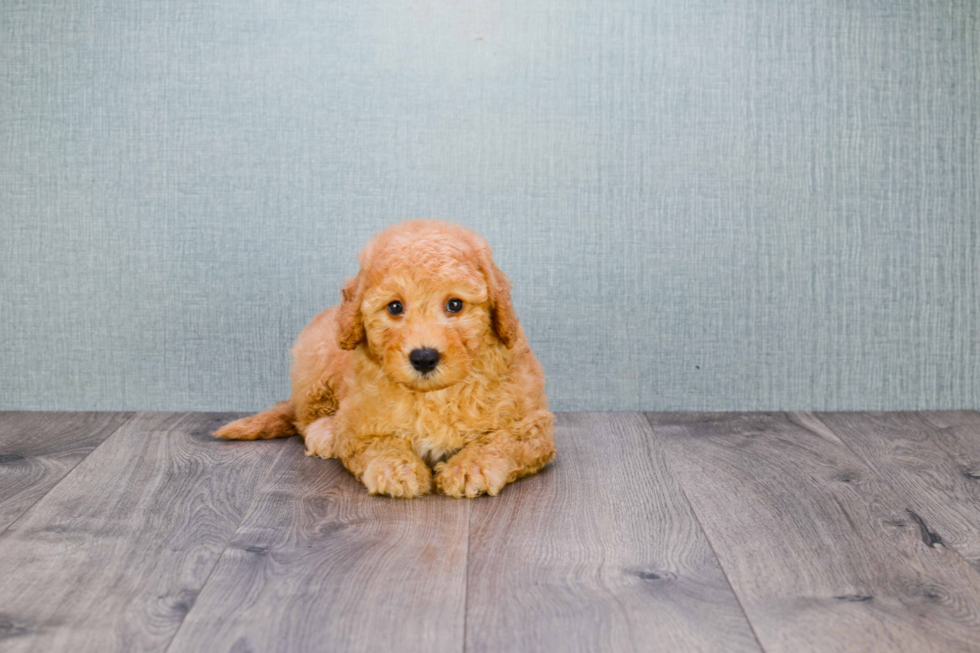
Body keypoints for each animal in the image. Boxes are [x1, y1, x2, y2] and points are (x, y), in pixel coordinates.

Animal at [214, 216, 556, 496]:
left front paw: (471, 467)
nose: (424, 358)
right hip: (316, 359)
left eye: (455, 305)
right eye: (394, 307)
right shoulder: (360, 423)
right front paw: (397, 469)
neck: (433, 395)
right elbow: (378, 443)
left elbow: (501, 440)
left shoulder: (531, 423)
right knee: (305, 418)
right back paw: (325, 433)